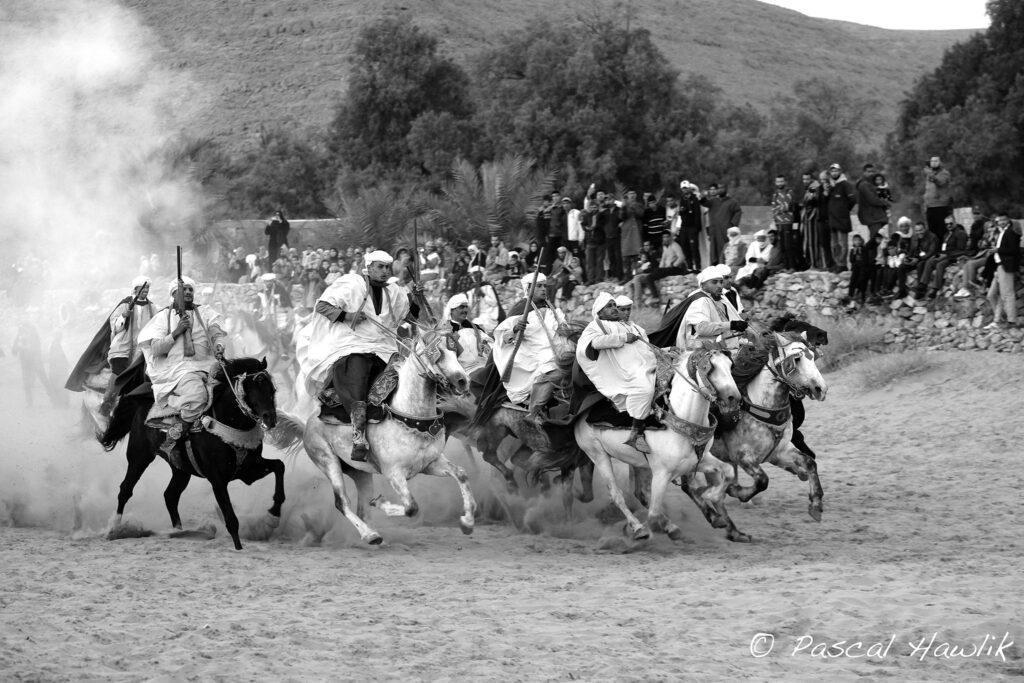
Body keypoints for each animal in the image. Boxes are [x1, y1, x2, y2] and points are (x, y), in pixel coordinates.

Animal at [96, 358, 284, 548]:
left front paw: (272, 517)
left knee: (170, 495)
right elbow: (231, 519)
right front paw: (239, 547)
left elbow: (279, 466)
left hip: (180, 469)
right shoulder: (217, 479)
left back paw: (179, 531)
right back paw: (115, 529)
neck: (226, 423)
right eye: (251, 388)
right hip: (139, 457)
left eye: (272, 389)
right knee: (126, 489)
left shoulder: (248, 470)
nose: (270, 418)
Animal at [288, 325, 475, 544]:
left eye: (457, 351)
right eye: (437, 353)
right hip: (327, 461)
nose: (463, 381)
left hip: (360, 473)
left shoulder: (430, 463)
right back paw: (369, 534)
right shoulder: (393, 473)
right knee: (342, 503)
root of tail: (307, 423)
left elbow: (461, 474)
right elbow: (411, 507)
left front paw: (467, 522)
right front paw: (381, 503)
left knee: (362, 508)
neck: (409, 417)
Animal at [577, 350, 737, 540]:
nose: (734, 398)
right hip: (598, 455)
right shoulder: (662, 473)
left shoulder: (699, 460)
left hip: (637, 462)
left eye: (730, 365)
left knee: (640, 493)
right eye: (710, 368)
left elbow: (728, 470)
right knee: (616, 495)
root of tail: (579, 415)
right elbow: (653, 515)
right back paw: (638, 528)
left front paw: (712, 497)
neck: (680, 423)